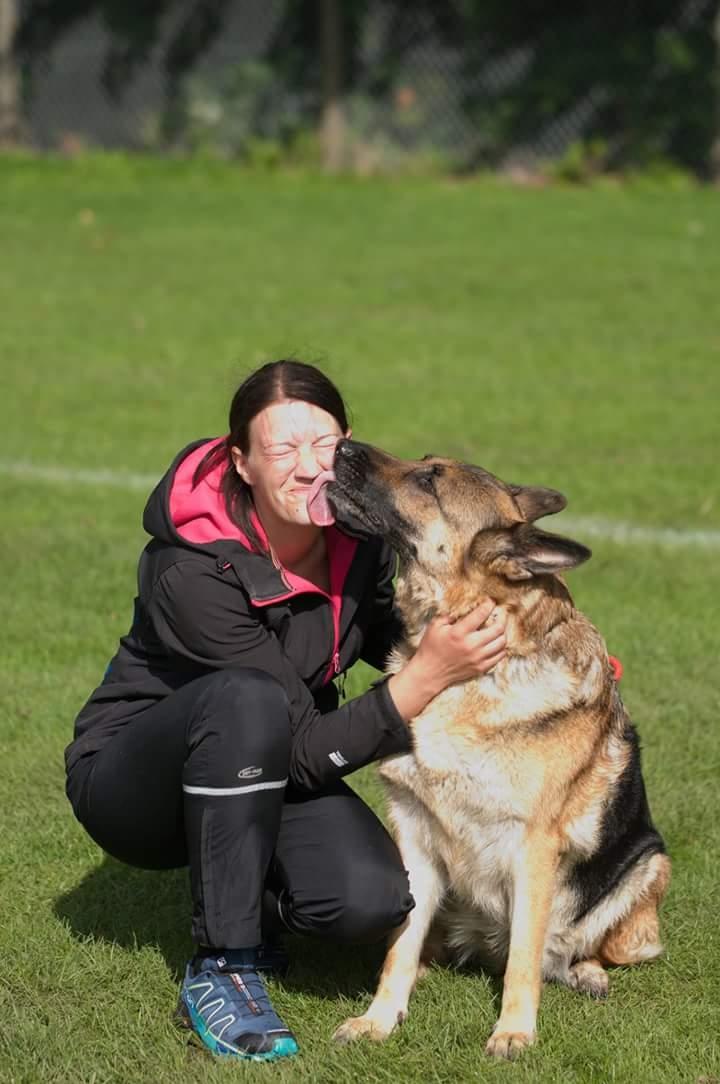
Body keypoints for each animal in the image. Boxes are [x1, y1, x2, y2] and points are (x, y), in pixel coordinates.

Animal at [325, 435, 667, 1053]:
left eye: (430, 480)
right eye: (424, 465)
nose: (341, 444)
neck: (470, 679)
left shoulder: (533, 848)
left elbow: (524, 963)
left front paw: (513, 1032)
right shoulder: (413, 836)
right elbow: (399, 946)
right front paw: (379, 1018)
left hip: (649, 866)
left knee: (573, 950)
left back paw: (586, 972)